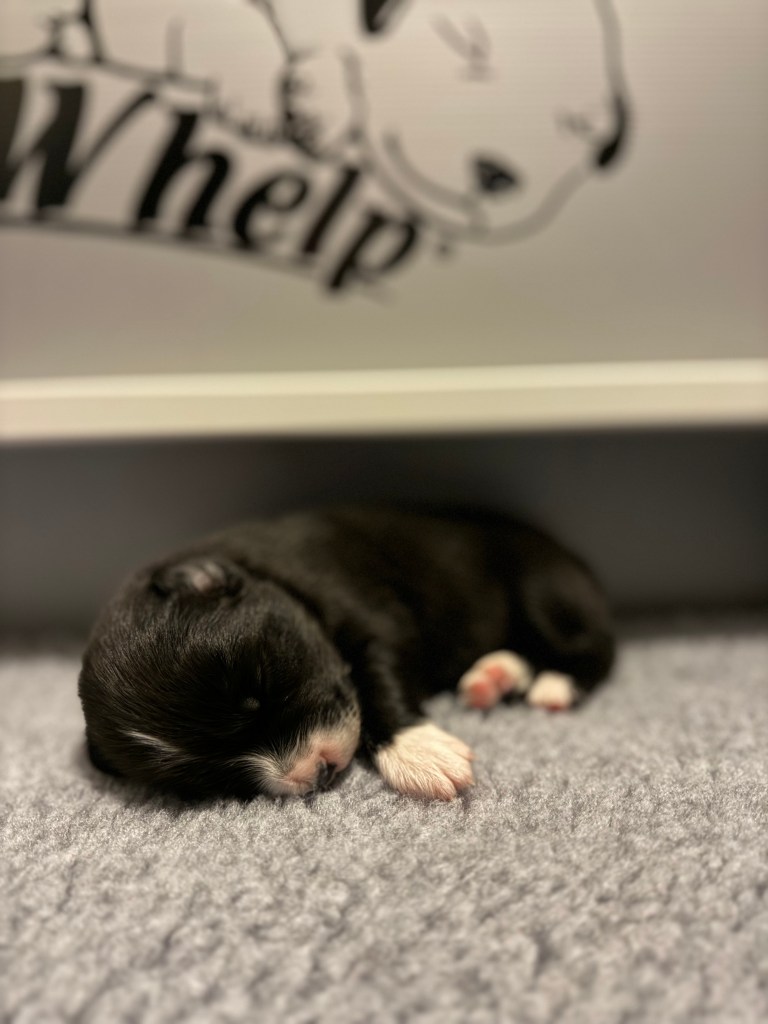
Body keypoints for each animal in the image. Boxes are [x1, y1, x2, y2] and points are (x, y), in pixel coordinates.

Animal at [79, 506, 615, 802]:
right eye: (206, 778)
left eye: (260, 687)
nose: (315, 773)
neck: (265, 572)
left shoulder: (375, 621)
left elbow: (377, 682)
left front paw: (419, 751)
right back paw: (492, 675)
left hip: (542, 587)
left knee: (594, 646)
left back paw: (555, 684)